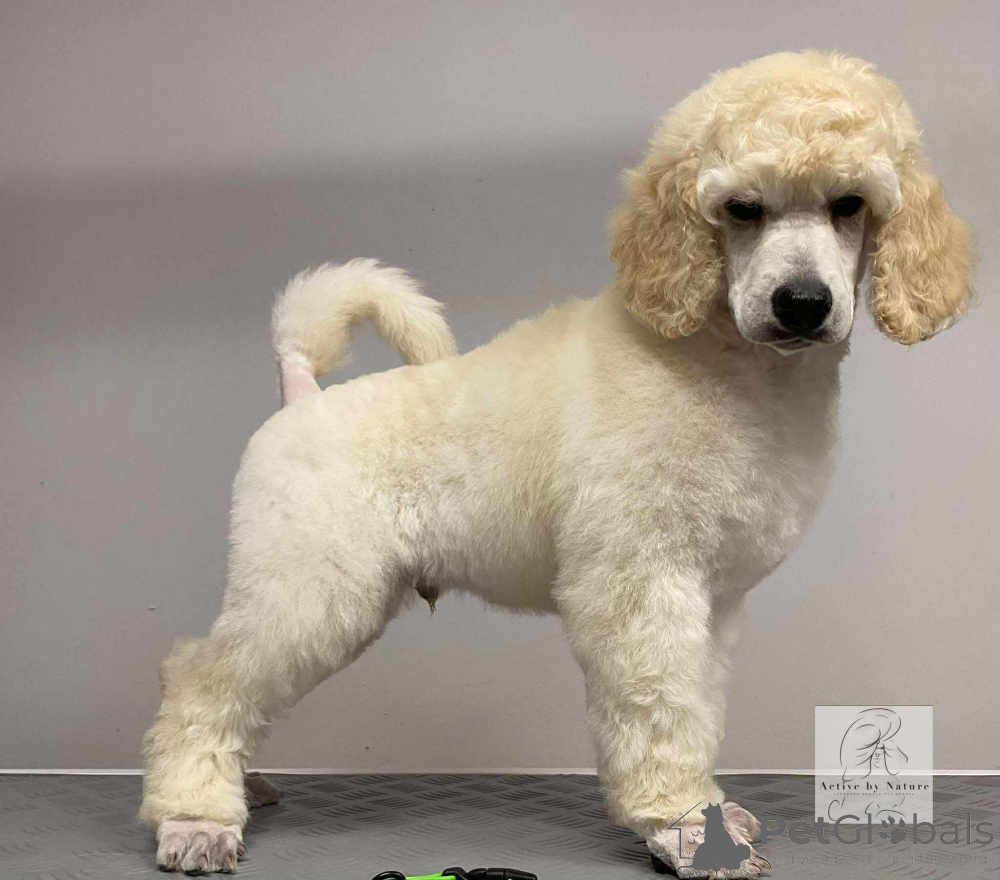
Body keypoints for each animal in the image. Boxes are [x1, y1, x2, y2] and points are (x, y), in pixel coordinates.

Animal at [140, 50, 973, 877]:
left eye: (849, 204)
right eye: (742, 209)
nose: (801, 303)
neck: (726, 365)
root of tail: (303, 393)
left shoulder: (714, 598)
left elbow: (699, 708)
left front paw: (709, 812)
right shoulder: (640, 583)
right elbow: (661, 710)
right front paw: (680, 827)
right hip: (311, 586)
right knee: (201, 681)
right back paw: (195, 816)